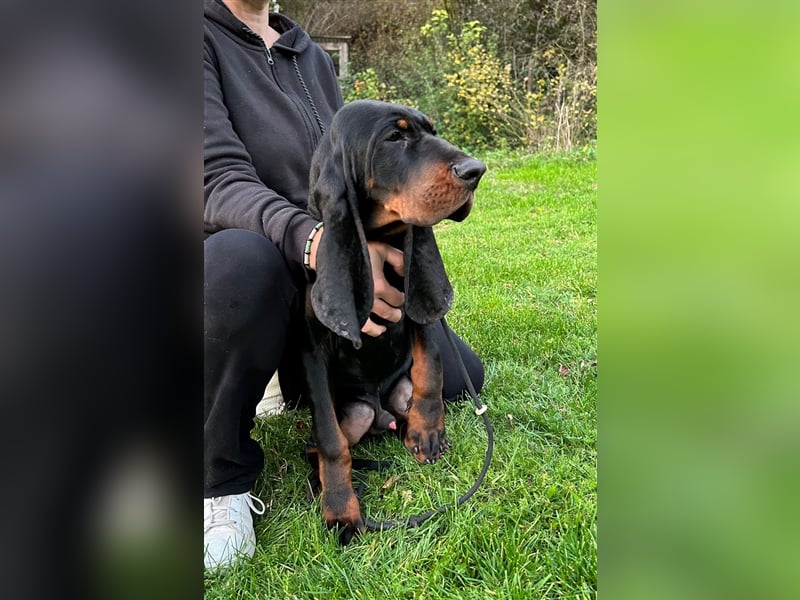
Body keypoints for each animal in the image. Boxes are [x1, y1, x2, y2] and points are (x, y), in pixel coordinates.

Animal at [304, 99, 484, 544]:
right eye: (395, 137)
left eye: (432, 130)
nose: (476, 170)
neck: (378, 239)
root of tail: (380, 410)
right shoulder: (312, 349)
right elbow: (330, 441)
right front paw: (340, 509)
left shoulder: (422, 310)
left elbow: (429, 371)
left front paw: (428, 433)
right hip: (356, 412)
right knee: (319, 446)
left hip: (395, 397)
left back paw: (409, 431)